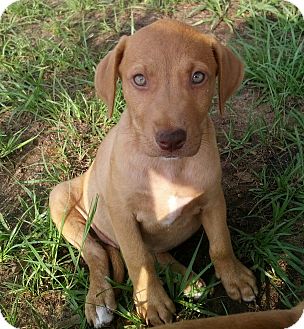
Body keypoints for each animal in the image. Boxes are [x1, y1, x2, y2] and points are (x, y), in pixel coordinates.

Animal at [48, 19, 258, 326]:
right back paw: (99, 301)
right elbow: (138, 259)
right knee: (97, 253)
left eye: (198, 76)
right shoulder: (123, 216)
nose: (171, 139)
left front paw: (234, 277)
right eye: (139, 79)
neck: (167, 168)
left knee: (155, 252)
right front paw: (152, 302)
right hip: (61, 198)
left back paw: (187, 280)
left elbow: (220, 243)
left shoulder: (213, 199)